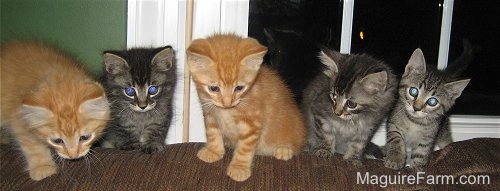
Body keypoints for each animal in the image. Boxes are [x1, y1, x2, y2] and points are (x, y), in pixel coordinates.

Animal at [0, 41, 110, 181]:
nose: (73, 155)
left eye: (84, 138)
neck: (58, 77)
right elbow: (33, 145)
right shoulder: (19, 120)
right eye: (57, 141)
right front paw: (42, 167)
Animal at [187, 33, 306, 181]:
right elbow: (212, 132)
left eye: (239, 88)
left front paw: (239, 168)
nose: (227, 103)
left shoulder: (252, 122)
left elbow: (245, 148)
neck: (226, 111)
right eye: (213, 88)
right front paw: (213, 151)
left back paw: (284, 149)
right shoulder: (210, 113)